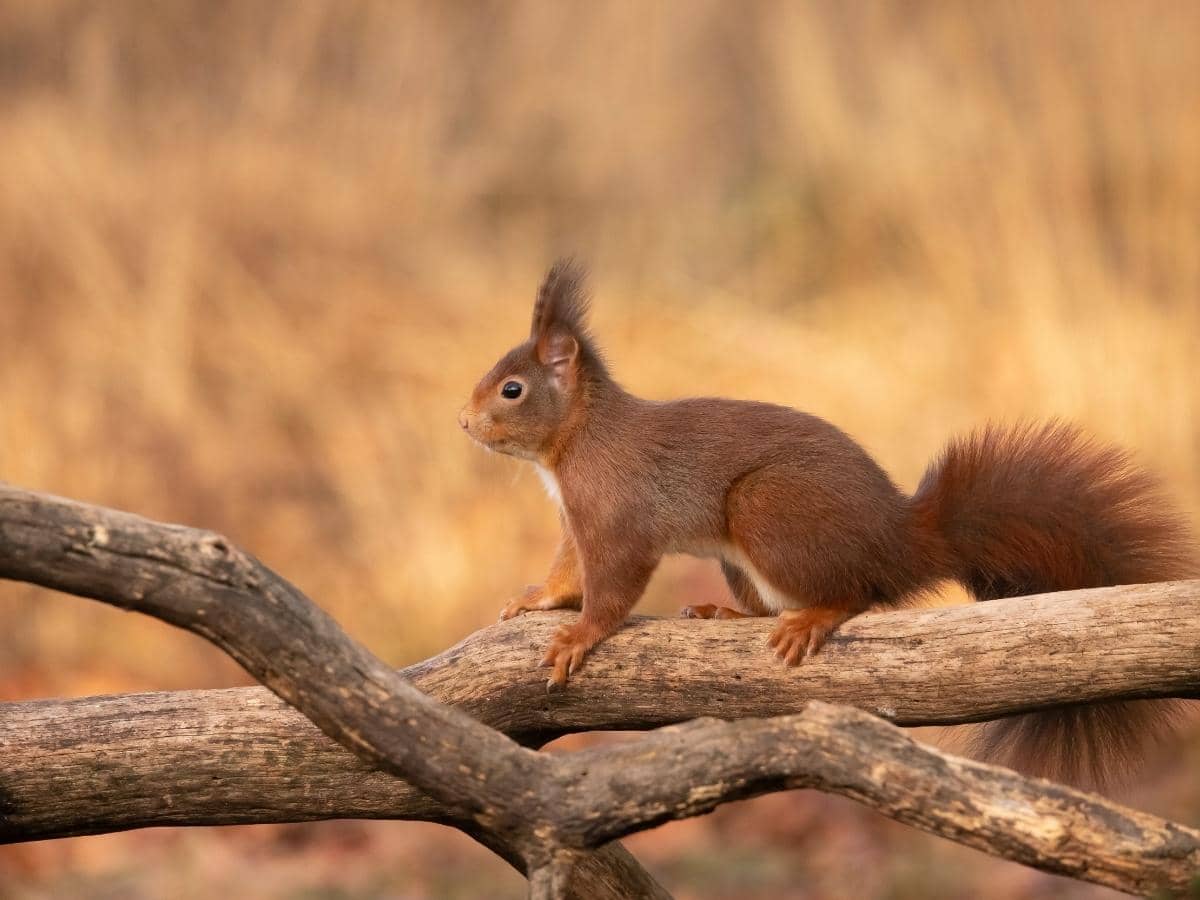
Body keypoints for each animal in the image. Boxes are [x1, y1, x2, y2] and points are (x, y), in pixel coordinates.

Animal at [458, 259, 1197, 785]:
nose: (462, 423)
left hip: (767, 511)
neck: (574, 444)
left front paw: (579, 635)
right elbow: (566, 571)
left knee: (858, 592)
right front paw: (537, 600)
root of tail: (901, 538)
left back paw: (814, 616)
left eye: (512, 390)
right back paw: (730, 614)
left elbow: (612, 586)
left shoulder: (618, 517)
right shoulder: (574, 521)